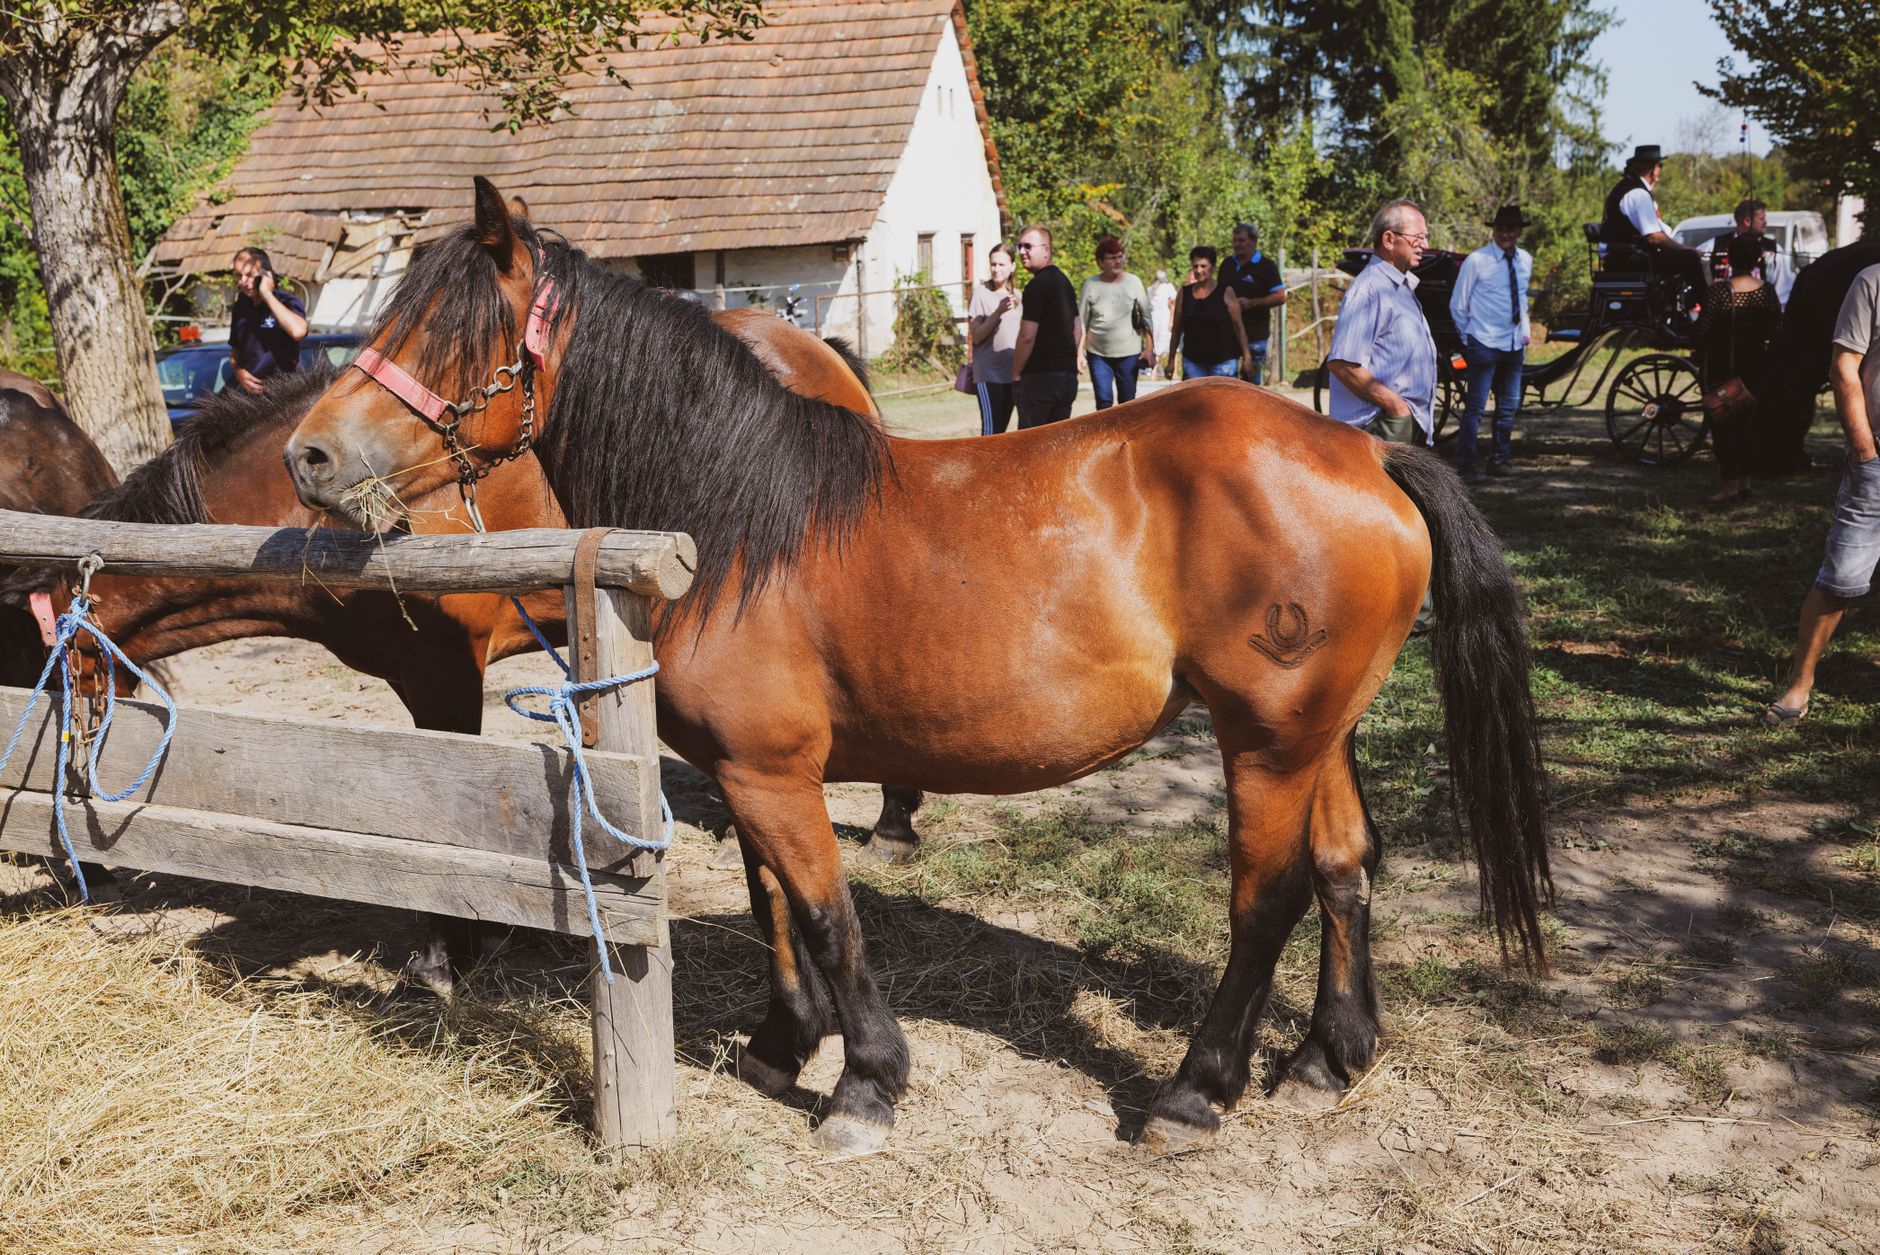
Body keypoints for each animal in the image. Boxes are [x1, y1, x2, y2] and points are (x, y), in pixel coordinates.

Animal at [281, 178, 1550, 1157]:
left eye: (450, 334)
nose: (308, 454)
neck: (737, 518)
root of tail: (1367, 454)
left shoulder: (771, 770)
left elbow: (826, 911)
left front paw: (863, 1083)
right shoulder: (748, 771)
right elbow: (774, 901)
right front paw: (781, 1041)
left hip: (1266, 741)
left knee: (1267, 895)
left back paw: (1194, 1092)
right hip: (1310, 731)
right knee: (1343, 866)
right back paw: (1331, 1055)